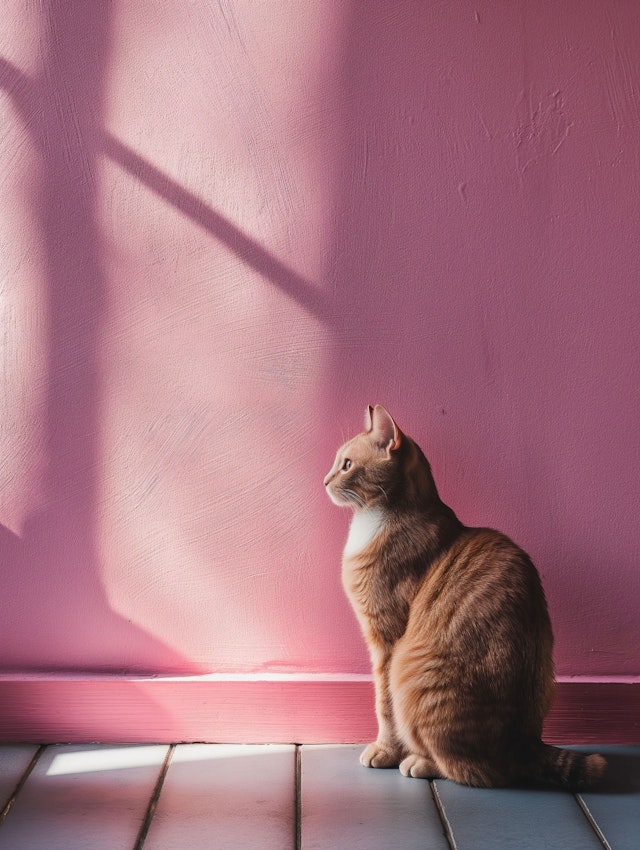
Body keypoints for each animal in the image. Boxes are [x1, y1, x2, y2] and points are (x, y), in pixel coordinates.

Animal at [324, 404, 604, 788]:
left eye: (347, 464)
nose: (324, 480)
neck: (379, 518)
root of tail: (525, 745)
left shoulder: (386, 642)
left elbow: (384, 706)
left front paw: (385, 750)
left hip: (407, 670)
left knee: (471, 771)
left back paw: (420, 762)